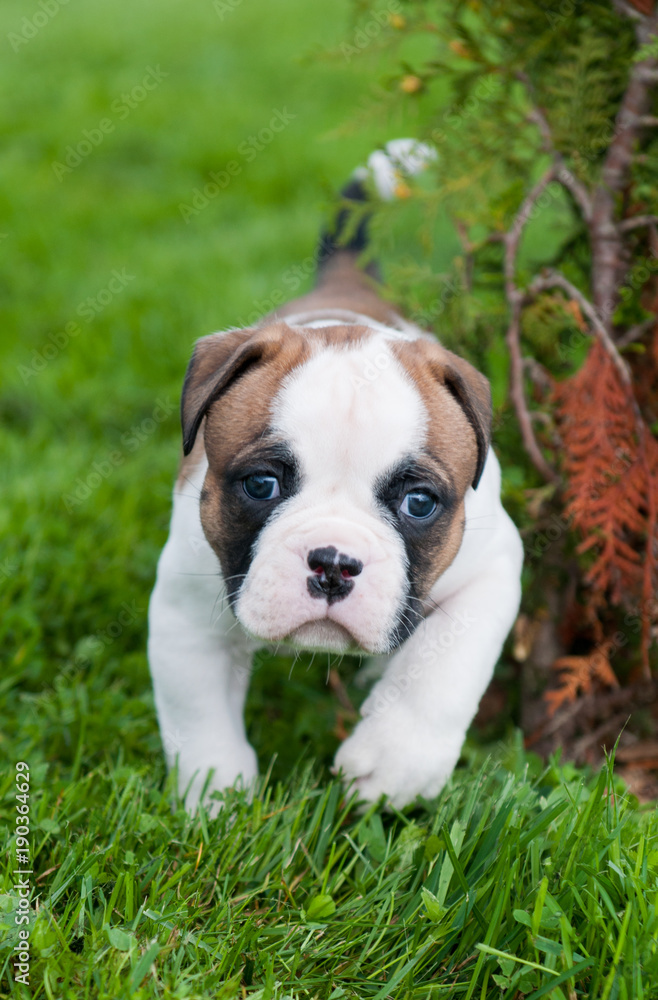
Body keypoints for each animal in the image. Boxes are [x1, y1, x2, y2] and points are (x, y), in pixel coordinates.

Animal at [149, 139, 524, 812]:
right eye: (262, 485)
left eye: (420, 503)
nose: (333, 563)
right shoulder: (183, 610)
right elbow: (197, 710)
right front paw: (216, 792)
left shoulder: (492, 569)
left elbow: (442, 667)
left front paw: (396, 761)